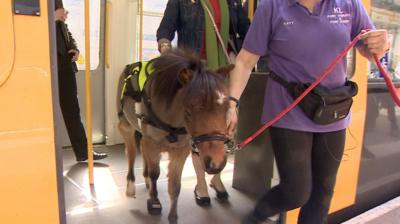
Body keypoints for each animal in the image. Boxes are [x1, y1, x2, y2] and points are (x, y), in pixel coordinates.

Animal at [117, 50, 233, 223]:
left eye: (226, 107)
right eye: (190, 110)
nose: (217, 162)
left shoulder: (180, 151)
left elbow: (175, 185)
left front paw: (173, 216)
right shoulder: (152, 144)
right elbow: (155, 174)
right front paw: (154, 202)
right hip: (127, 127)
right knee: (131, 154)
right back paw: (131, 186)